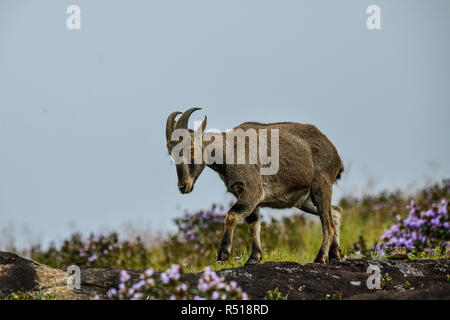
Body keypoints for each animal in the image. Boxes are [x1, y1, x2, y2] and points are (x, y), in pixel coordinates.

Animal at [165, 109, 344, 264]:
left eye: (191, 149)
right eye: (171, 154)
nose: (183, 186)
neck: (230, 151)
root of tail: (335, 153)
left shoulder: (252, 190)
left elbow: (232, 216)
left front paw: (223, 253)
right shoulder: (245, 195)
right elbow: (253, 223)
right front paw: (254, 257)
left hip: (321, 185)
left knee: (328, 225)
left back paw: (320, 258)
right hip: (304, 200)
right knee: (335, 212)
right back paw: (335, 255)